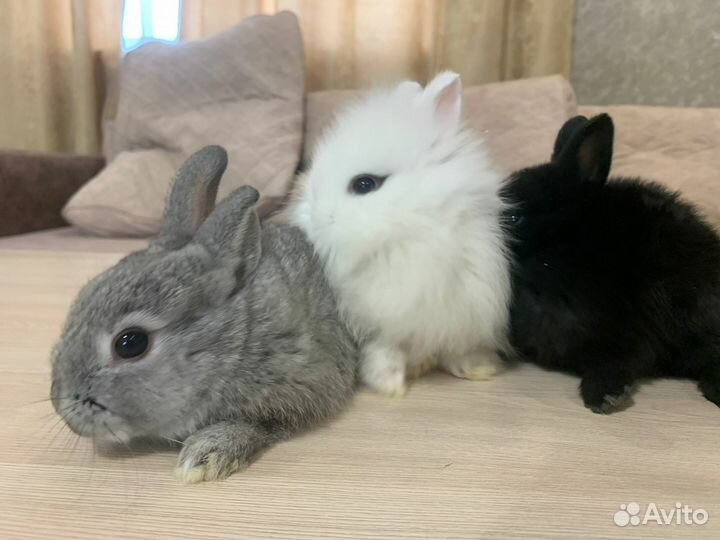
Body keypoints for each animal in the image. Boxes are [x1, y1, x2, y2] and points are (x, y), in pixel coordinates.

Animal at [50, 146, 358, 482]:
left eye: (130, 343)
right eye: (84, 293)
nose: (61, 407)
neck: (237, 339)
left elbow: (256, 424)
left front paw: (203, 458)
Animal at [284, 71, 511, 396]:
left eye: (364, 184)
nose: (311, 221)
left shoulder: (465, 309)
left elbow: (458, 349)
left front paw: (479, 369)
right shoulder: (376, 324)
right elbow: (384, 352)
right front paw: (391, 386)